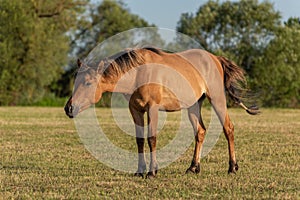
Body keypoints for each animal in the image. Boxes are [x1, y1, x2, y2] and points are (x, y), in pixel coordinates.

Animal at [64, 46, 258, 178]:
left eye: (88, 82)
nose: (69, 108)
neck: (138, 72)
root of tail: (215, 58)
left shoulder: (153, 108)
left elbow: (152, 139)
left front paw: (152, 171)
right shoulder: (135, 110)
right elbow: (140, 140)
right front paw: (139, 171)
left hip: (217, 100)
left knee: (228, 128)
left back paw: (232, 167)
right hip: (194, 106)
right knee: (200, 132)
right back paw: (193, 167)